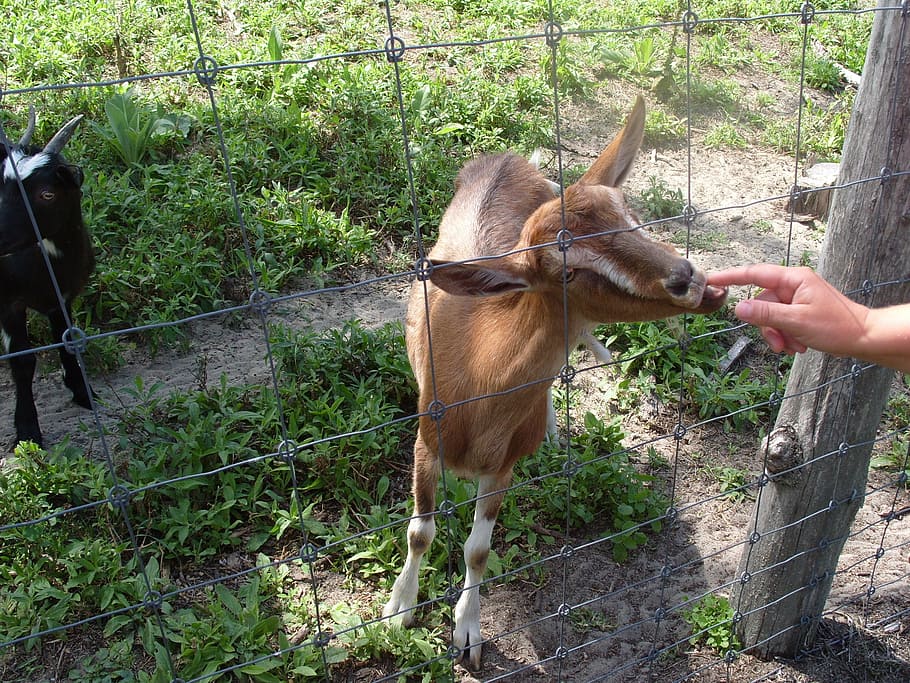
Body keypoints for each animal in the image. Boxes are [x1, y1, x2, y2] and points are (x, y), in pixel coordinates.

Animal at [1, 108, 94, 447]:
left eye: (47, 194)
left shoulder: (62, 296)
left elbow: (67, 342)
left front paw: (83, 392)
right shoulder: (8, 302)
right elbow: (22, 361)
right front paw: (27, 430)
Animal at [382, 96, 728, 669]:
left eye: (633, 219)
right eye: (565, 271)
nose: (689, 280)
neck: (476, 391)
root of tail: (509, 157)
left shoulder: (503, 465)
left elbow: (478, 548)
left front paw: (468, 633)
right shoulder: (425, 441)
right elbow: (419, 531)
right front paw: (399, 610)